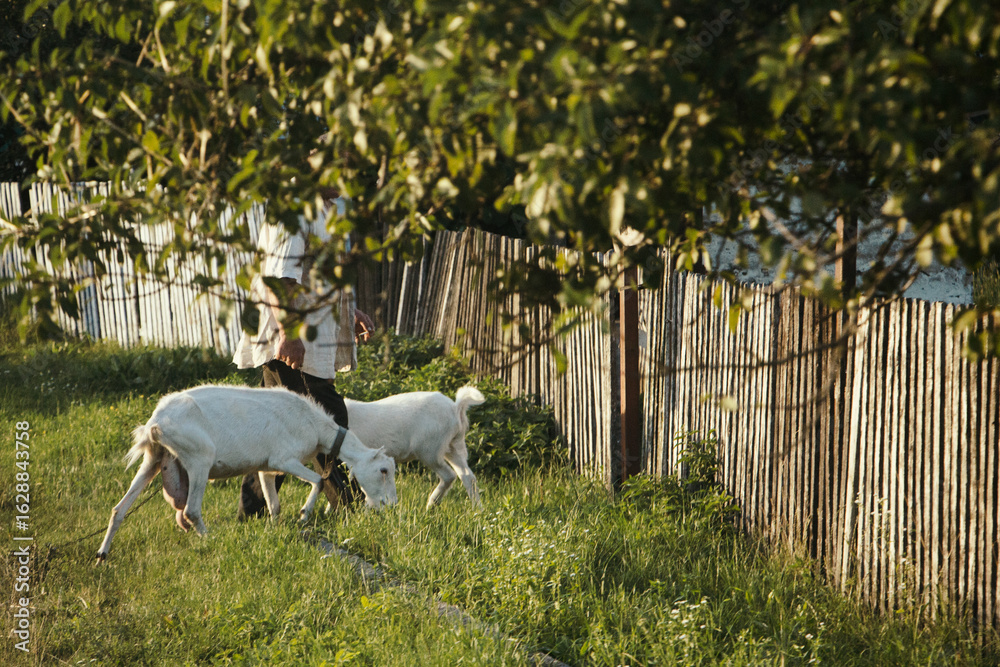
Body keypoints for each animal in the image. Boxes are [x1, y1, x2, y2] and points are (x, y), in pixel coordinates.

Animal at [96, 384, 397, 561]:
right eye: (383, 470)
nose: (391, 505)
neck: (317, 427)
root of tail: (155, 424)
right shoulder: (284, 458)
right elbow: (319, 482)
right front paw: (303, 514)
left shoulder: (266, 467)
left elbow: (274, 503)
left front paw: (277, 527)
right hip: (198, 457)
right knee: (191, 511)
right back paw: (211, 540)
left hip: (154, 459)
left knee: (119, 509)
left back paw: (102, 553)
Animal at [344, 385, 485, 509]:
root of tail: (456, 408)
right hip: (452, 446)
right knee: (467, 476)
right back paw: (477, 510)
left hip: (429, 449)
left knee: (449, 475)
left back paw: (431, 505)